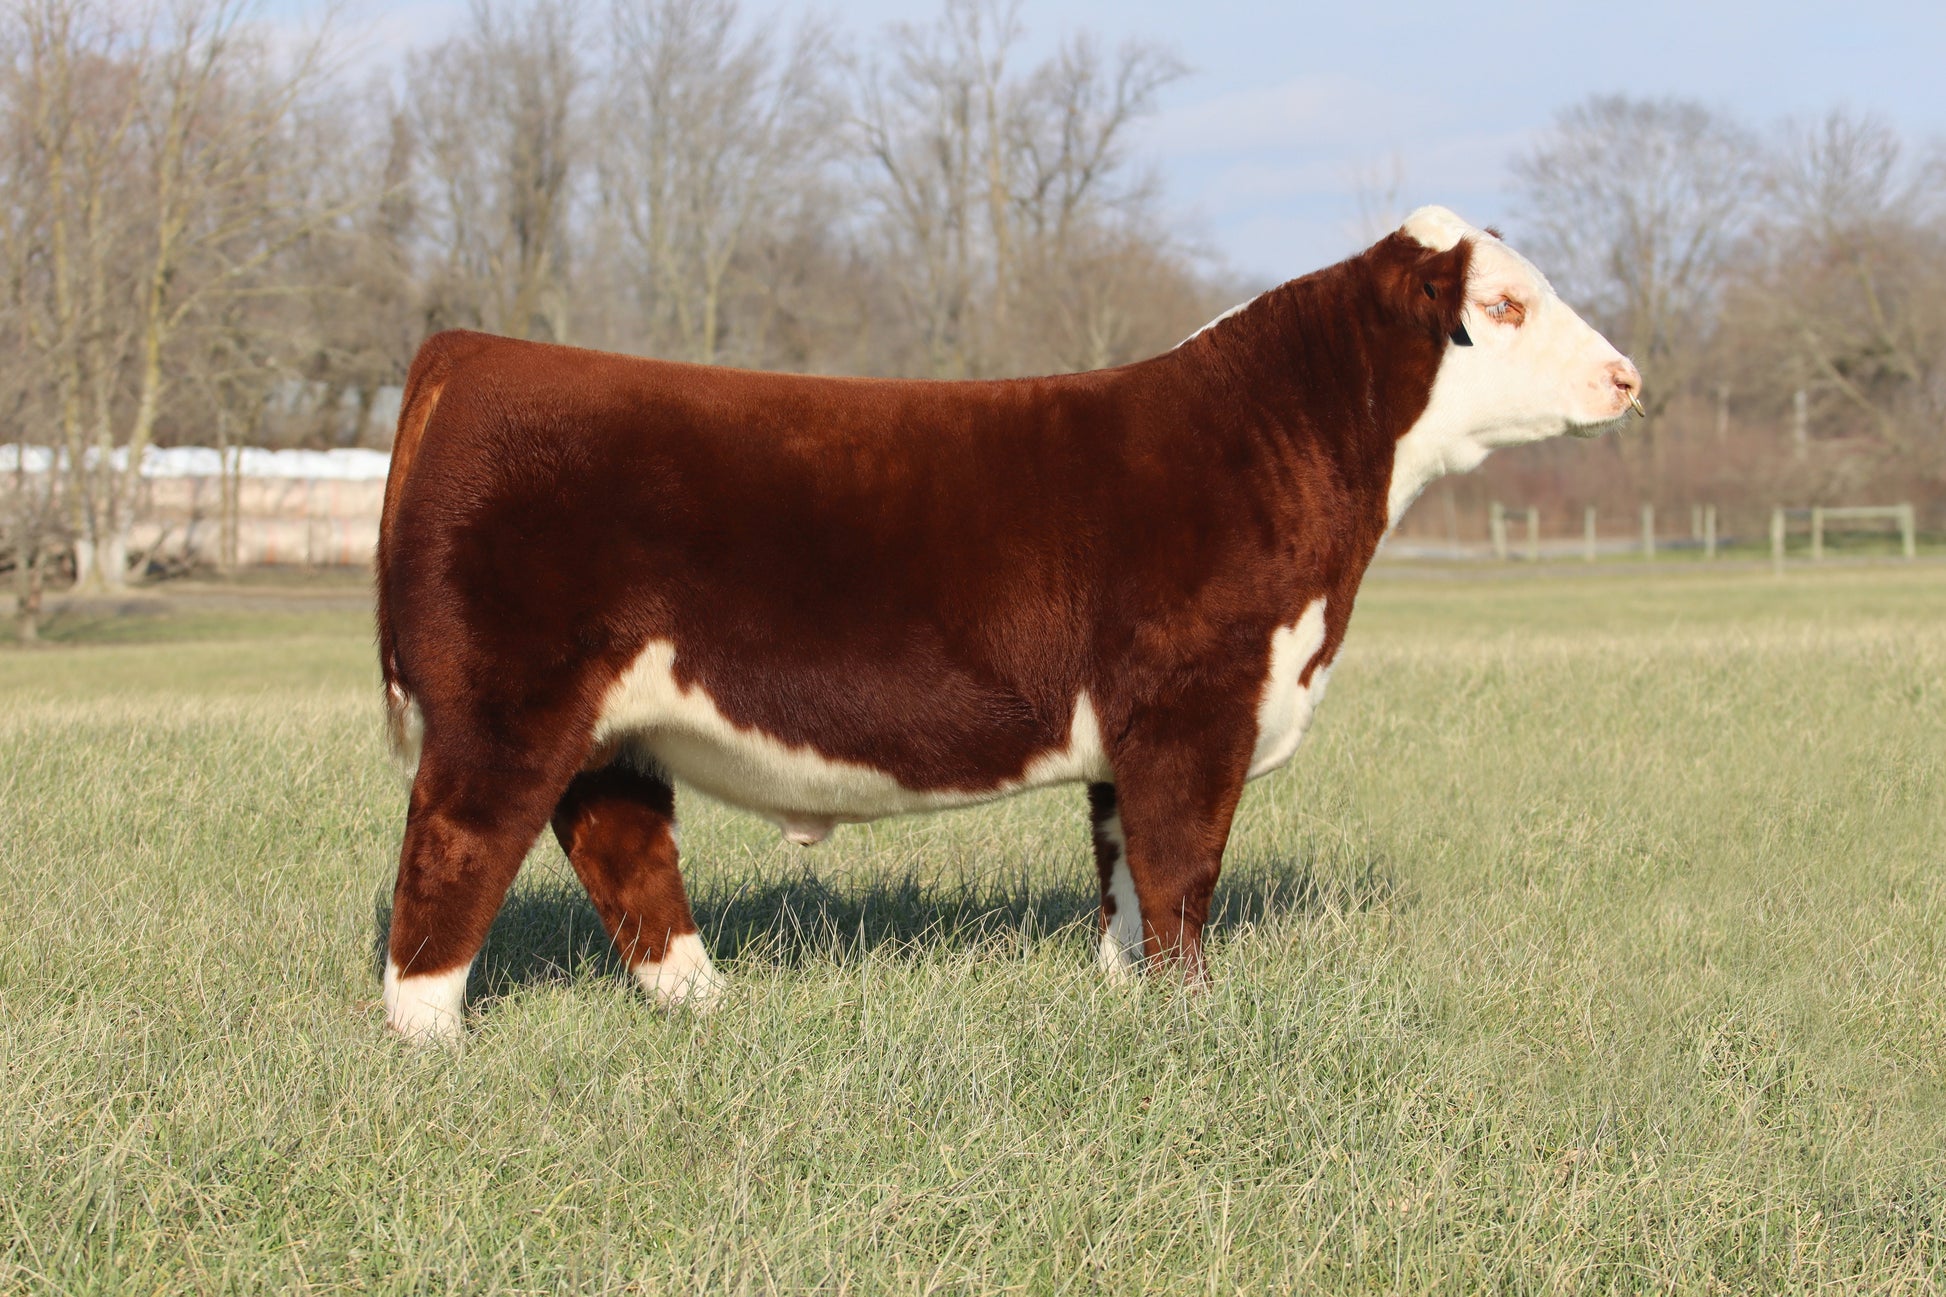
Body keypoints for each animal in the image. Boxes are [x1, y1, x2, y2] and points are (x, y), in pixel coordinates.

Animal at [375, 205, 1640, 1041]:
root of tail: (470, 353)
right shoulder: (1194, 704)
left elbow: (1124, 868)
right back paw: (431, 1039)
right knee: (454, 849)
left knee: (620, 844)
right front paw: (1193, 1015)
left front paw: (1128, 994)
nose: (1626, 376)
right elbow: (1183, 864)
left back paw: (710, 1003)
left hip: (609, 724)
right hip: (504, 707)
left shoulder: (1135, 732)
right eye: (1504, 305)